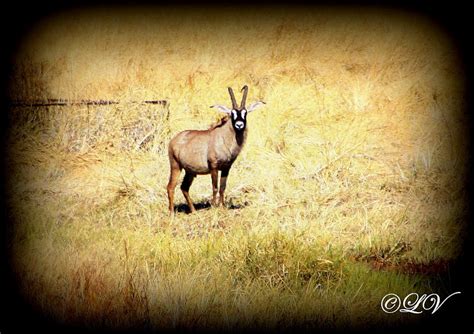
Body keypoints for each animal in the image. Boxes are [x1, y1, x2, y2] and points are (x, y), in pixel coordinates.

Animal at [167, 85, 264, 214]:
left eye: (245, 113)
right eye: (232, 113)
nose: (239, 125)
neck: (224, 137)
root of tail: (174, 139)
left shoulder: (226, 167)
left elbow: (222, 187)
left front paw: (222, 207)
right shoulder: (214, 167)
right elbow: (215, 187)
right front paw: (214, 206)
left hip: (190, 171)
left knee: (184, 187)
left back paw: (193, 211)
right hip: (175, 166)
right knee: (170, 187)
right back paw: (172, 213)